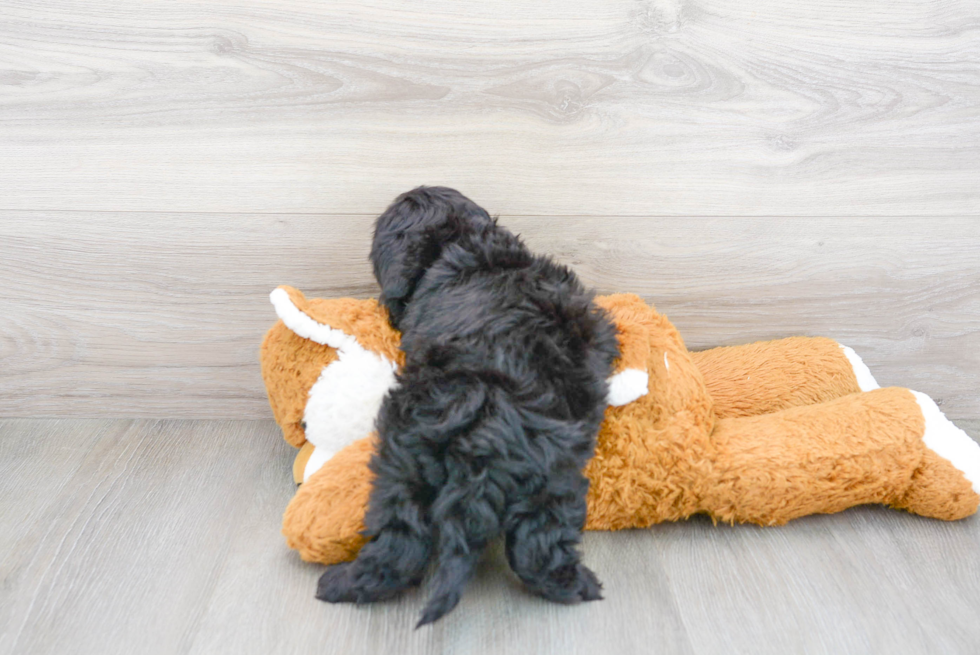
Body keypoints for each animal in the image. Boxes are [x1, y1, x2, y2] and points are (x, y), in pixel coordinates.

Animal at [318, 187, 616, 628]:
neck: (461, 241)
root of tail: (487, 430)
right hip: (553, 475)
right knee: (537, 546)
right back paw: (580, 586)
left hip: (404, 462)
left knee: (401, 541)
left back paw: (341, 583)